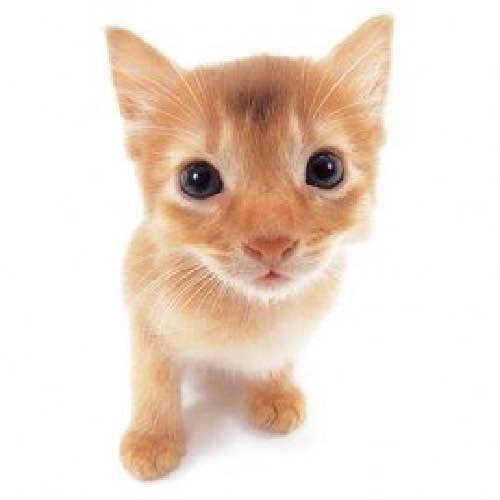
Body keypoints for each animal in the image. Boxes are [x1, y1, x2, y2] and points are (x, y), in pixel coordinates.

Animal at [107, 13, 392, 478]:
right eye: (198, 179)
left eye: (325, 168)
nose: (270, 243)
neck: (251, 309)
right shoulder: (145, 316)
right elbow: (152, 381)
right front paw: (152, 439)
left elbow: (278, 356)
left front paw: (274, 393)